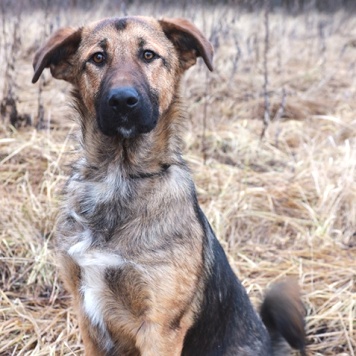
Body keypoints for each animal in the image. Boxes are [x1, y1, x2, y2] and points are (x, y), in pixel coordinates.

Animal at [32, 15, 306, 354]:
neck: (118, 177)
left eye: (149, 55)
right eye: (97, 58)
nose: (123, 101)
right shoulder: (87, 318)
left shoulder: (159, 329)